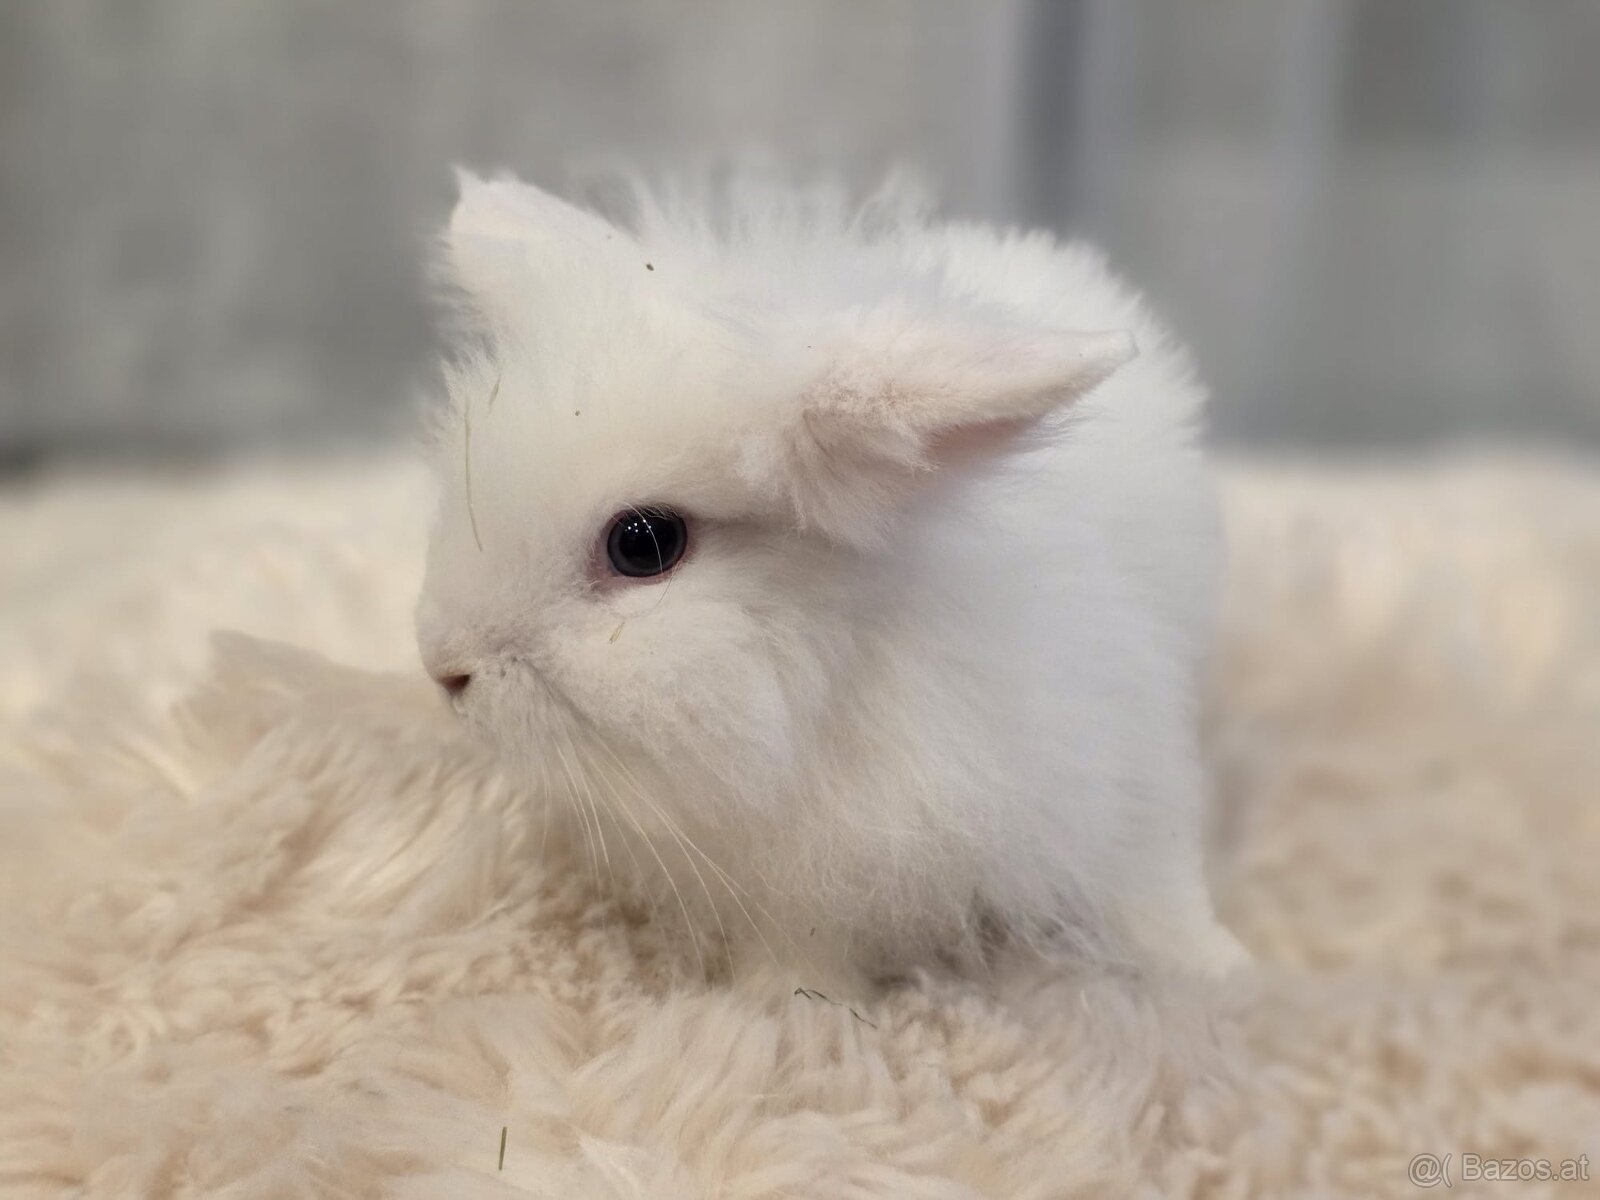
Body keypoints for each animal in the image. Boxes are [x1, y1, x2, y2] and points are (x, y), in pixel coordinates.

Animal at [415, 170, 1245, 986]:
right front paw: (781, 1005)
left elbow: (1155, 874)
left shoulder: (1126, 765)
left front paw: (1215, 969)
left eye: (644, 544)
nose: (442, 669)